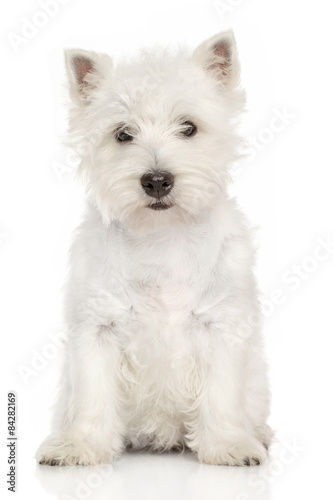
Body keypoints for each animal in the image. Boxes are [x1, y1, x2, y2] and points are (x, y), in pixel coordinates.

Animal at [36, 29, 272, 466]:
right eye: (122, 134)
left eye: (189, 127)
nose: (157, 180)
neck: (162, 236)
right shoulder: (98, 328)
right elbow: (92, 397)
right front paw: (80, 446)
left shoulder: (220, 325)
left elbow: (221, 396)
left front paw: (230, 445)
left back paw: (259, 434)